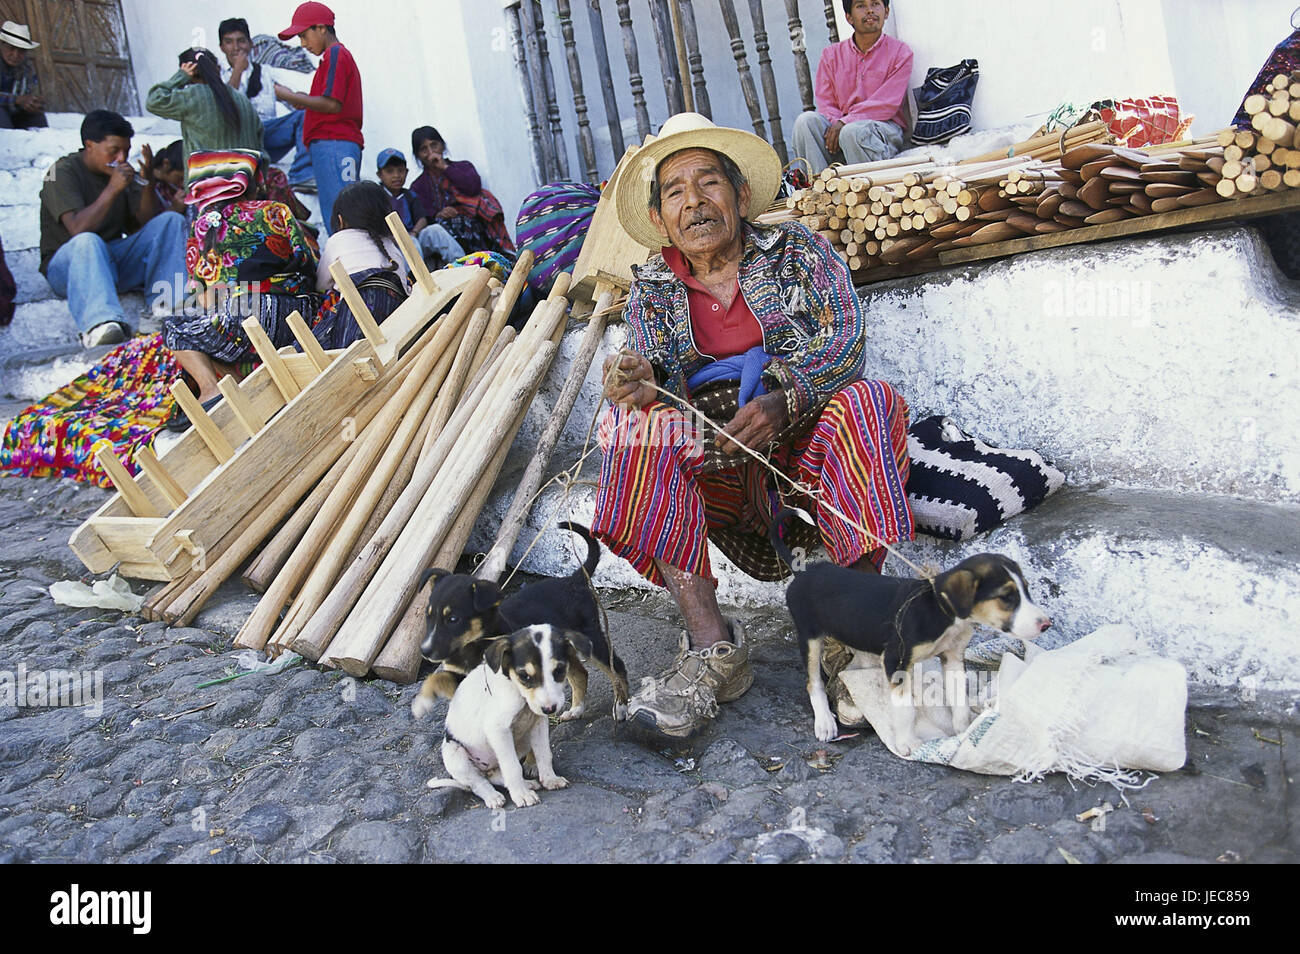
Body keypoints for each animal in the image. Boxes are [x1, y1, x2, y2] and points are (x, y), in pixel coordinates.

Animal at [408, 522, 626, 722]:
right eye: (428, 616)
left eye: (453, 619)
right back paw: (576, 710)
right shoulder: (461, 676)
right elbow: (437, 677)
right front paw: (422, 702)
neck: (473, 646)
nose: (425, 651)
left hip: (592, 637)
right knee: (580, 673)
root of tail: (573, 579)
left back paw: (622, 707)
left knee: (617, 667)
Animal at [423, 631, 592, 811]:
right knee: (478, 783)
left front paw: (550, 779)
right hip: (455, 755)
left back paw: (527, 784)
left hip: (521, 742)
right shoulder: (498, 730)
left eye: (559, 671)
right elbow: (513, 767)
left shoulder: (538, 722)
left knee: (495, 775)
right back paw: (494, 796)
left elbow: (544, 754)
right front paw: (522, 795)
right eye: (525, 675)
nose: (550, 709)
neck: (519, 694)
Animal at [764, 509, 1050, 753]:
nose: (1046, 624)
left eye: (1026, 590)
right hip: (810, 636)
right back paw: (824, 722)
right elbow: (905, 709)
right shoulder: (896, 661)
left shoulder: (953, 658)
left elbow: (959, 698)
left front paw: (964, 731)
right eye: (1007, 597)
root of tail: (802, 572)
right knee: (813, 682)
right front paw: (907, 743)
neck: (940, 612)